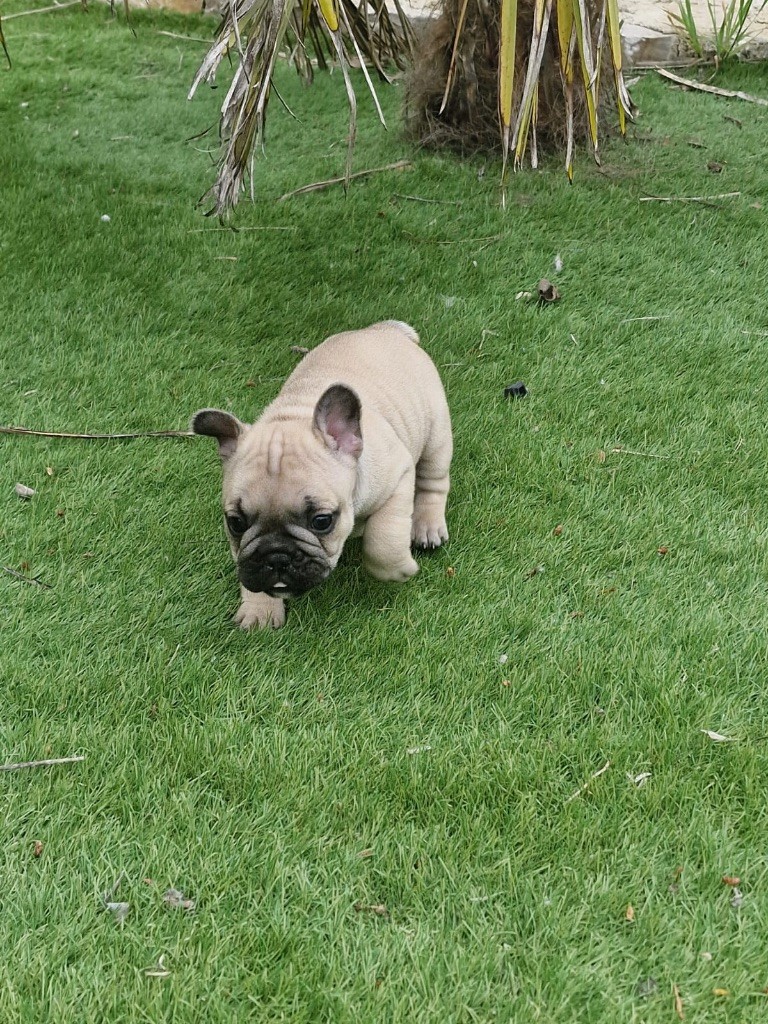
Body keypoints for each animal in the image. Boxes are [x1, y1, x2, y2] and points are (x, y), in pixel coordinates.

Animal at [192, 319, 454, 626]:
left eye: (321, 521)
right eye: (235, 523)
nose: (276, 556)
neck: (295, 415)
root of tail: (384, 329)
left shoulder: (398, 477)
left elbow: (383, 539)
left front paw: (396, 569)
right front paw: (260, 610)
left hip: (436, 435)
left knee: (434, 482)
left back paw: (427, 526)